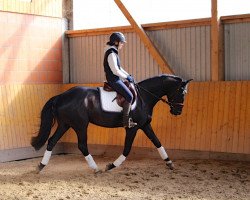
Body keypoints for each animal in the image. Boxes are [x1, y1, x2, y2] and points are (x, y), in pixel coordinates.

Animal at [30, 74, 191, 173]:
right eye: (182, 93)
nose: (177, 111)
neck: (144, 97)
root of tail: (60, 96)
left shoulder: (145, 125)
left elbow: (157, 142)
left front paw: (169, 162)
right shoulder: (132, 128)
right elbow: (127, 149)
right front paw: (111, 166)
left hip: (65, 124)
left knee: (52, 141)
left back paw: (40, 166)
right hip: (80, 125)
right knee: (82, 145)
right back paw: (96, 169)